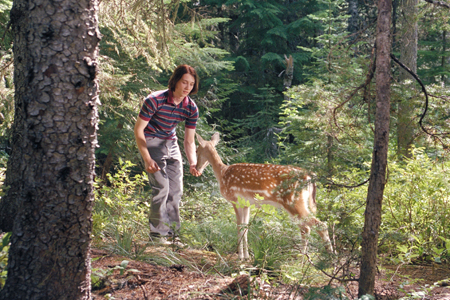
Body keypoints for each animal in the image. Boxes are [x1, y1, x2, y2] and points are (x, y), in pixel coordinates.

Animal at [195, 132, 332, 260]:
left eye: (196, 150)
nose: (197, 168)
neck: (222, 173)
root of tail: (309, 176)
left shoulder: (235, 199)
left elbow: (239, 227)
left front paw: (240, 257)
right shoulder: (246, 204)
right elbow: (245, 228)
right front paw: (246, 257)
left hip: (293, 202)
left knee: (318, 226)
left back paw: (320, 259)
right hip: (299, 203)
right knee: (307, 227)